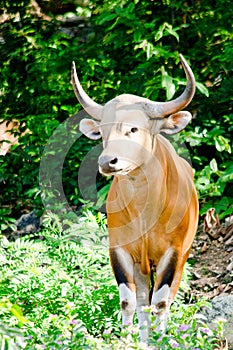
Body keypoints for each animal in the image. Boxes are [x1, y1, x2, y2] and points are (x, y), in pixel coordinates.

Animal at [71, 54, 198, 342]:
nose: (108, 162)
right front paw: (128, 341)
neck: (145, 213)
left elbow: (161, 302)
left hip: (182, 257)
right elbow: (128, 301)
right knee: (142, 303)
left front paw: (161, 342)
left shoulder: (173, 253)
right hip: (142, 267)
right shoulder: (119, 250)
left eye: (133, 128)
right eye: (103, 132)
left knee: (165, 300)